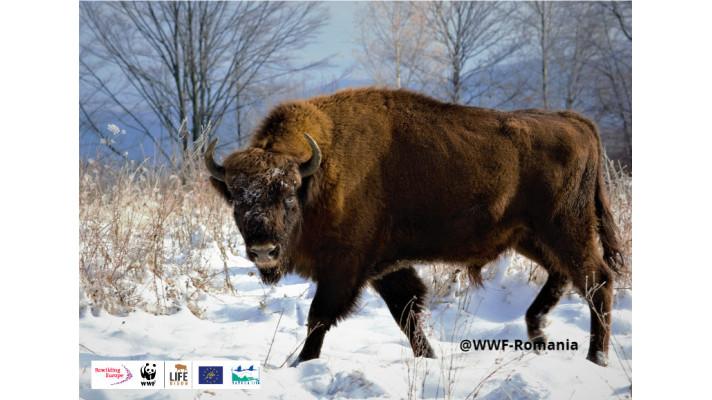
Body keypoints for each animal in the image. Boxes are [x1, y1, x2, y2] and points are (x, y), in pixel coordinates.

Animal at [205, 88, 623, 367]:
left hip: (565, 229)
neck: (317, 174)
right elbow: (406, 312)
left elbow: (319, 317)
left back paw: (596, 358)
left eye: (288, 193)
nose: (263, 250)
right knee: (563, 275)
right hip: (531, 236)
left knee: (597, 280)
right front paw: (429, 357)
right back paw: (537, 335)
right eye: (237, 198)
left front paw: (301, 364)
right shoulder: (383, 269)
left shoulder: (345, 268)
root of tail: (575, 122)